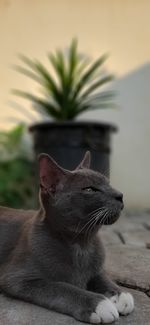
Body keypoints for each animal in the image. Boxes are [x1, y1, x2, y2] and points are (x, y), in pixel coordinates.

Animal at [0, 151, 134, 322]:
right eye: (90, 190)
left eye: (108, 184)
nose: (120, 195)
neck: (81, 244)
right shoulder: (17, 278)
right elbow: (59, 287)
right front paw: (98, 304)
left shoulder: (95, 267)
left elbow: (101, 277)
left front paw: (119, 294)